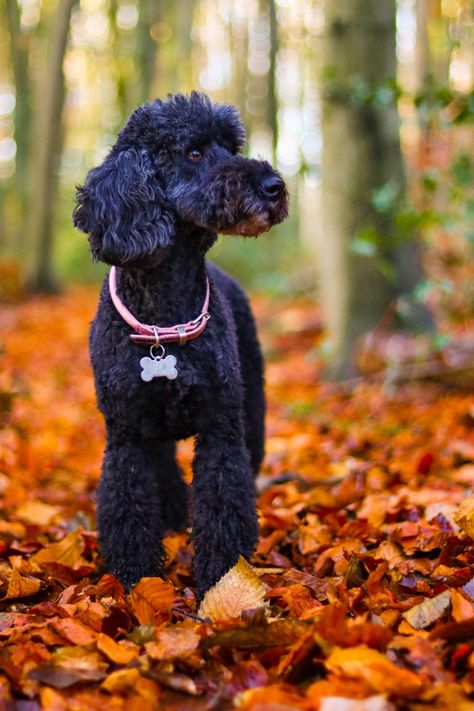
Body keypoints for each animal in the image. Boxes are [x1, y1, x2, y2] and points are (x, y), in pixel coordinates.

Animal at [72, 90, 286, 600]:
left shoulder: (222, 430)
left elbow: (224, 504)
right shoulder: (127, 435)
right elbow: (128, 506)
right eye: (193, 152)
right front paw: (134, 578)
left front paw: (225, 579)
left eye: (231, 147)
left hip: (252, 412)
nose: (274, 186)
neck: (162, 325)